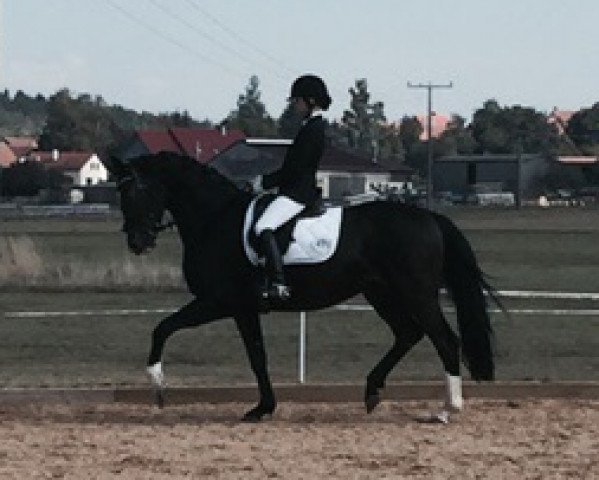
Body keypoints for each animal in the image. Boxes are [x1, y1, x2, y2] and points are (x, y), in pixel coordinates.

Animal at [106, 152, 496, 422]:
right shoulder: (243, 308)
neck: (214, 220)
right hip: (381, 293)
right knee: (408, 334)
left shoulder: (217, 301)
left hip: (416, 293)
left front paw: (158, 387)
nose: (138, 243)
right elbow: (257, 356)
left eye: (138, 190)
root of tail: (430, 217)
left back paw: (447, 410)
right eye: (120, 194)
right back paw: (372, 391)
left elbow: (162, 328)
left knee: (445, 340)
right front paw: (263, 407)